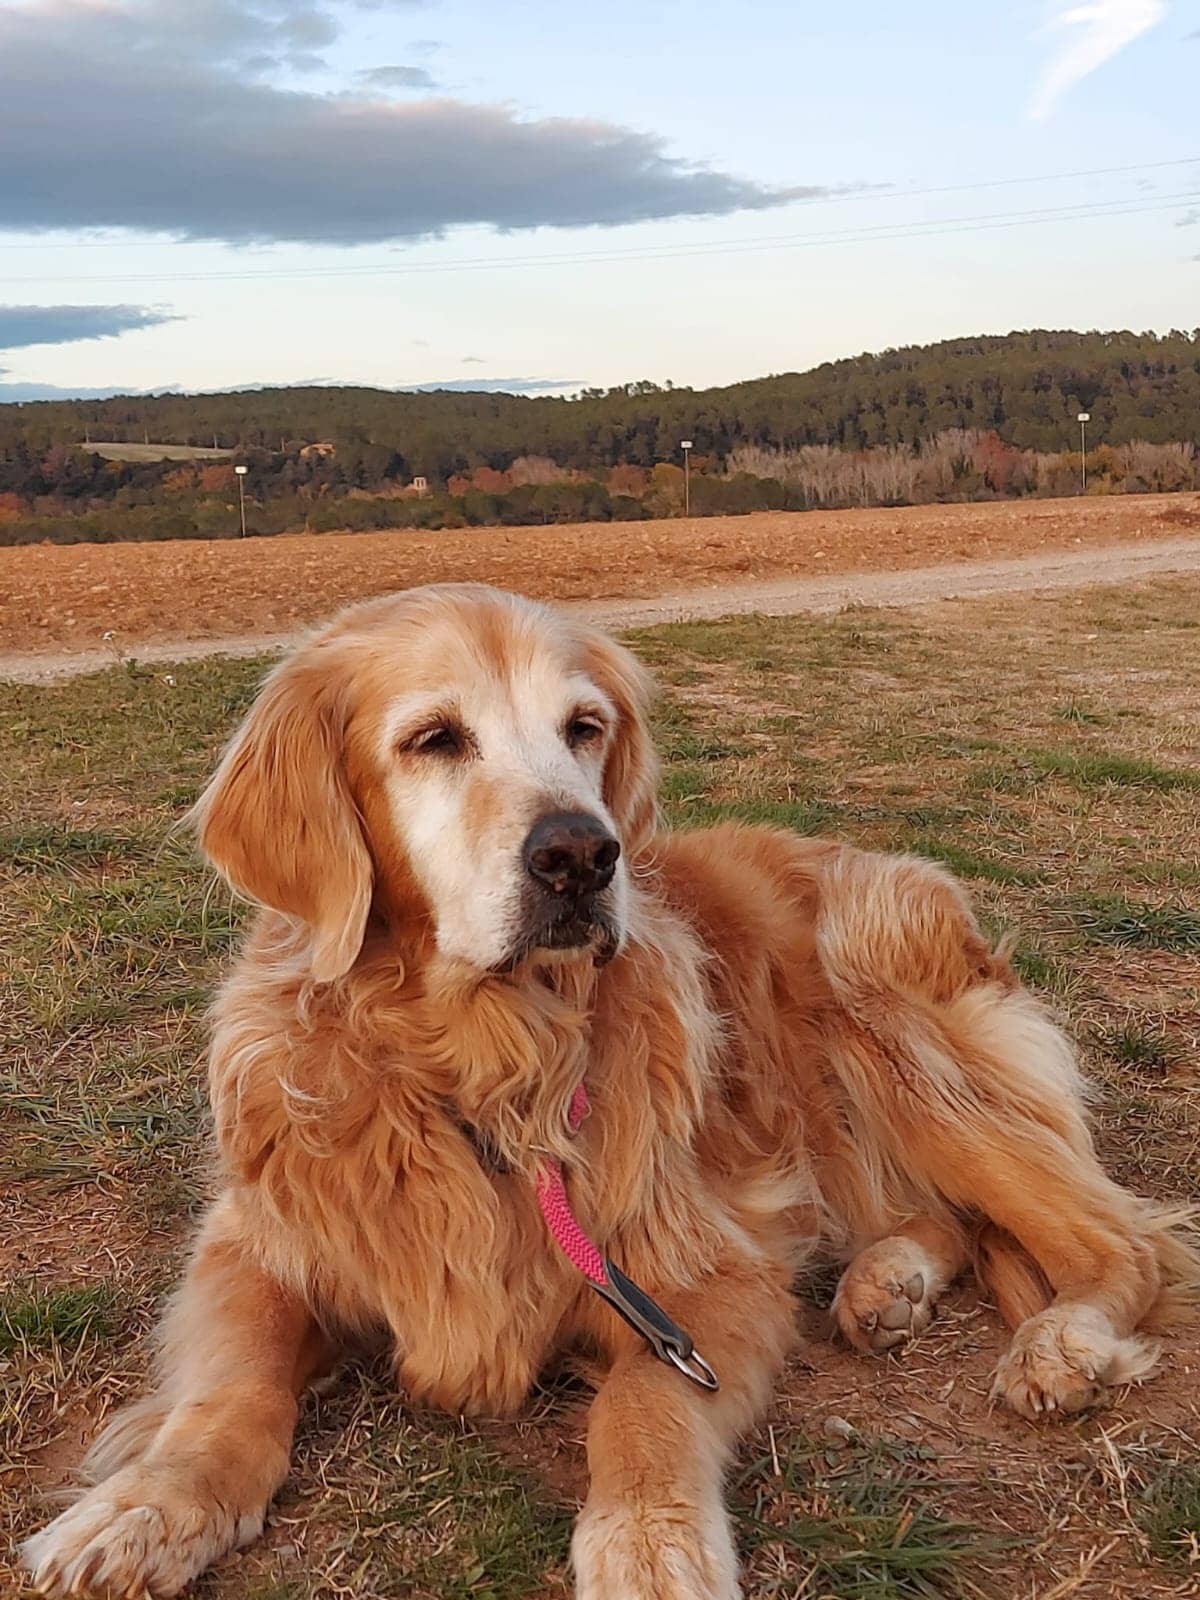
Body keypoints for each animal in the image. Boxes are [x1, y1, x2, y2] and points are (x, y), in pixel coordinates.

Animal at [23, 585, 1196, 1600]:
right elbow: (230, 1392)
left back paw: (1062, 1340)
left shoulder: (702, 1273)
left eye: (584, 727)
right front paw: (144, 1508)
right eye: (435, 738)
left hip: (890, 1027)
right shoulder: (257, 1238)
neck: (481, 1071)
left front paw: (648, 1545)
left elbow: (640, 1406)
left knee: (1124, 1238)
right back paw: (887, 1280)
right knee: (945, 1217)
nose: (583, 854)